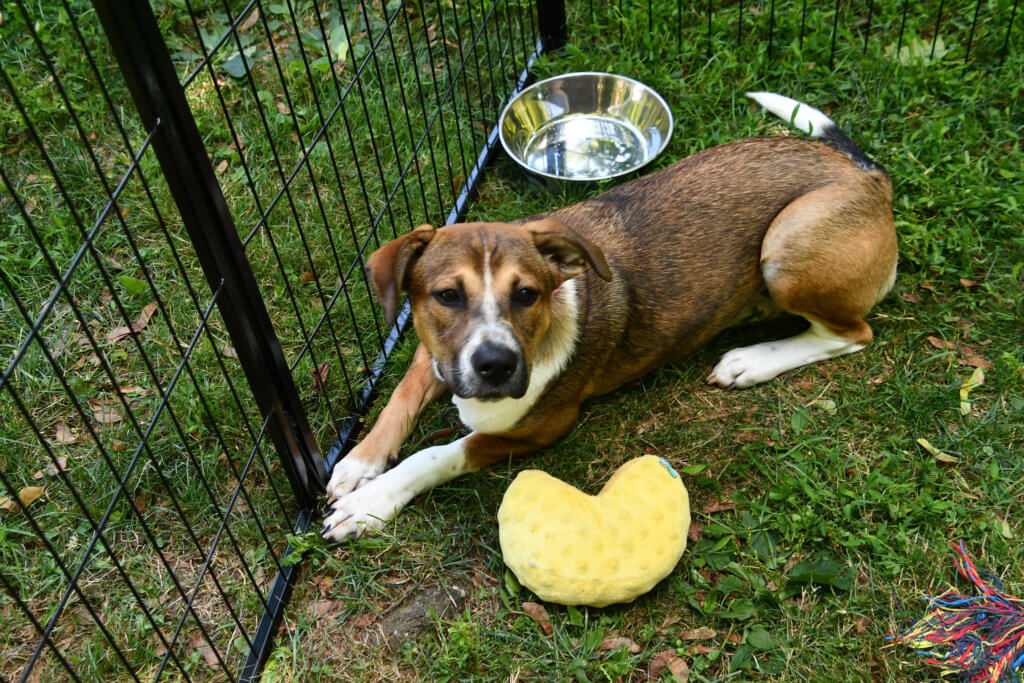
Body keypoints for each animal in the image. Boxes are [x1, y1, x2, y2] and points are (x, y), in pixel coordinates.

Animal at [321, 90, 897, 540]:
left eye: (527, 294)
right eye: (447, 296)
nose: (496, 366)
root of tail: (869, 180)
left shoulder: (537, 431)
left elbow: (437, 454)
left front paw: (369, 504)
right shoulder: (432, 349)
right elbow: (399, 397)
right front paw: (358, 465)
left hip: (786, 247)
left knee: (852, 332)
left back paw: (750, 361)